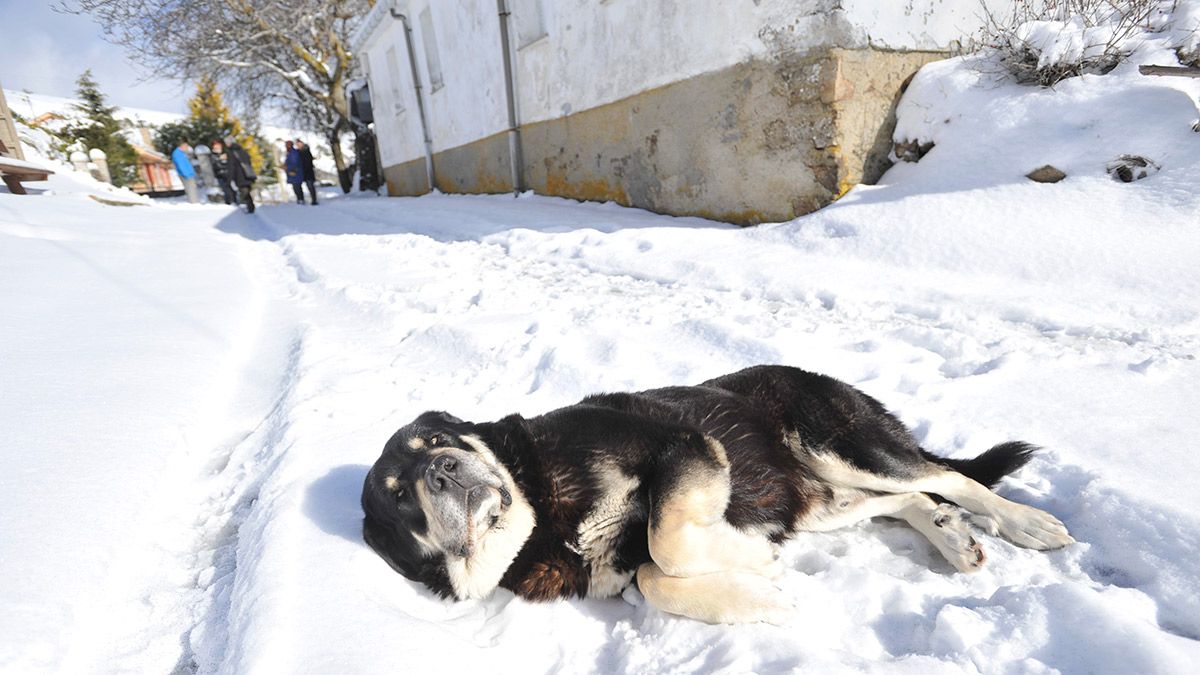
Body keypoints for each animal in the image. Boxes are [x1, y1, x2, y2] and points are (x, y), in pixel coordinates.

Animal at [360, 365, 1075, 624]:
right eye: (398, 499)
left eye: (433, 440)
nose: (441, 470)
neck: (542, 508)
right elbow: (653, 578)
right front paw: (752, 592)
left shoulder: (683, 445)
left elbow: (665, 545)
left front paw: (752, 567)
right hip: (822, 499)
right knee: (911, 501)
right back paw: (951, 537)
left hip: (835, 443)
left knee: (948, 478)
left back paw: (1028, 525)